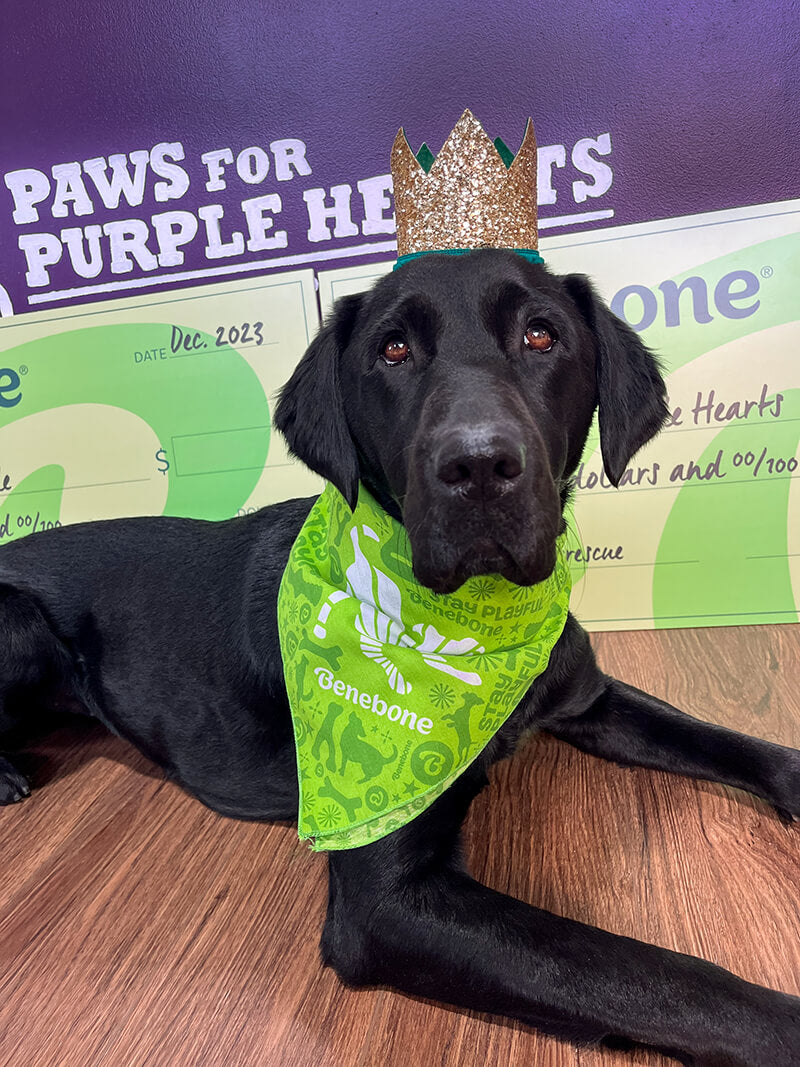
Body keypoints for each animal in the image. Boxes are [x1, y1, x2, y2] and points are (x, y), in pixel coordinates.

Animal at [1, 247, 800, 1058]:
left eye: (541, 335)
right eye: (393, 349)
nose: (478, 466)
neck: (474, 621)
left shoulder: (589, 697)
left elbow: (736, 743)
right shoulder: (389, 905)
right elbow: (650, 974)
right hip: (19, 620)